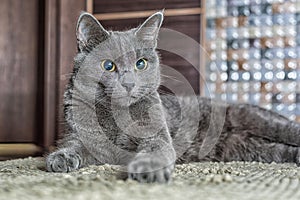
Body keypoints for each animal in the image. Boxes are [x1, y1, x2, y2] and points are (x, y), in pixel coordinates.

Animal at [45, 10, 300, 183]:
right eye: (108, 66)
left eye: (141, 63)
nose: (128, 83)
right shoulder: (84, 137)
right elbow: (74, 146)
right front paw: (60, 158)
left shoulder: (157, 133)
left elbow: (156, 148)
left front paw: (148, 169)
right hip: (250, 149)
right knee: (280, 150)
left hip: (258, 120)